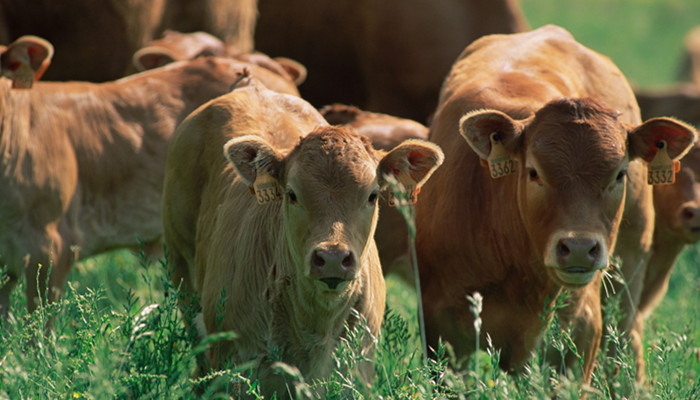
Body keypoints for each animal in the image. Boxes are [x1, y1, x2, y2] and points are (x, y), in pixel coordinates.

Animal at [412, 25, 696, 384]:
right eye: (534, 172)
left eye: (620, 173)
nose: (578, 248)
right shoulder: (443, 331)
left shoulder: (580, 333)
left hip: (628, 271)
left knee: (625, 343)